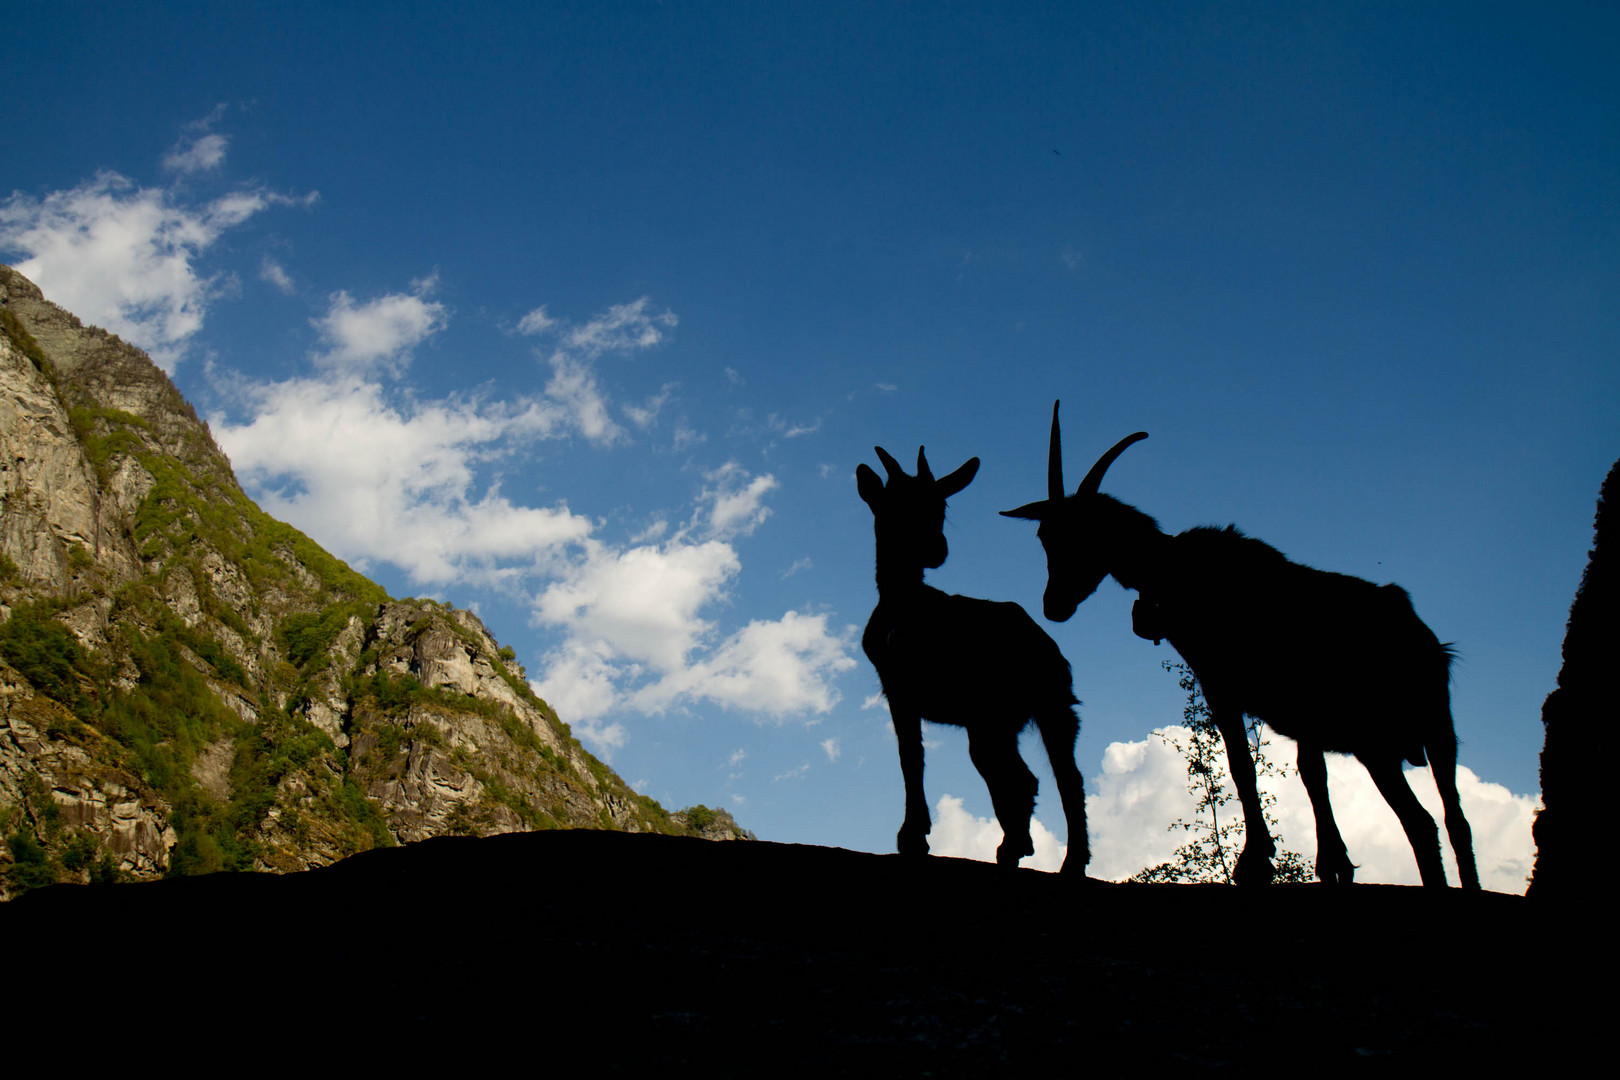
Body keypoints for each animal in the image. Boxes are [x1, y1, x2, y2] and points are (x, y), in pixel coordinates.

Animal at [861, 443, 1088, 874]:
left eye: (941, 506)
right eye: (895, 504)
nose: (936, 548)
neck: (906, 606)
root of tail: (1046, 647)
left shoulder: (904, 691)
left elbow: (911, 757)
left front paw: (913, 835)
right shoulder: (899, 690)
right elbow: (910, 755)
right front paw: (915, 833)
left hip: (1029, 708)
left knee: (1052, 776)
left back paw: (1064, 858)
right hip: (1007, 717)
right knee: (1023, 775)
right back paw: (1017, 846)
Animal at [1004, 404, 1477, 887]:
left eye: (1086, 532)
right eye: (1045, 536)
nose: (1054, 605)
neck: (1177, 570)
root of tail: (1428, 642)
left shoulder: (1223, 684)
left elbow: (1244, 764)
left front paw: (1256, 860)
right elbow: (1304, 773)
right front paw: (1326, 862)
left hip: (1387, 738)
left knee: (1425, 820)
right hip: (1424, 734)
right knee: (1448, 820)